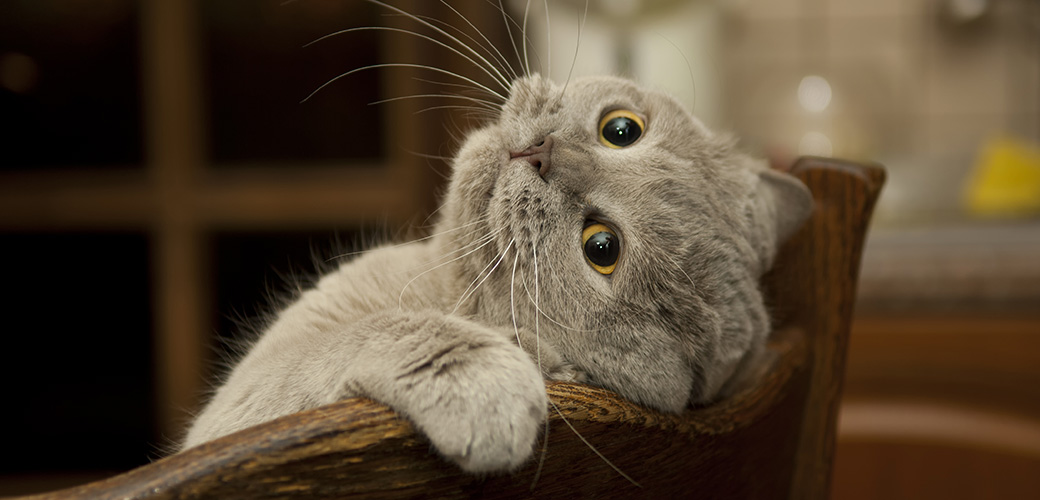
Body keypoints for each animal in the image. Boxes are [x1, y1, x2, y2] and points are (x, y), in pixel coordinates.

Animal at [176, 10, 811, 476]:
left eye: (602, 248)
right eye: (621, 130)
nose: (545, 153)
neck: (433, 287)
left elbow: (387, 331)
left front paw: (490, 380)